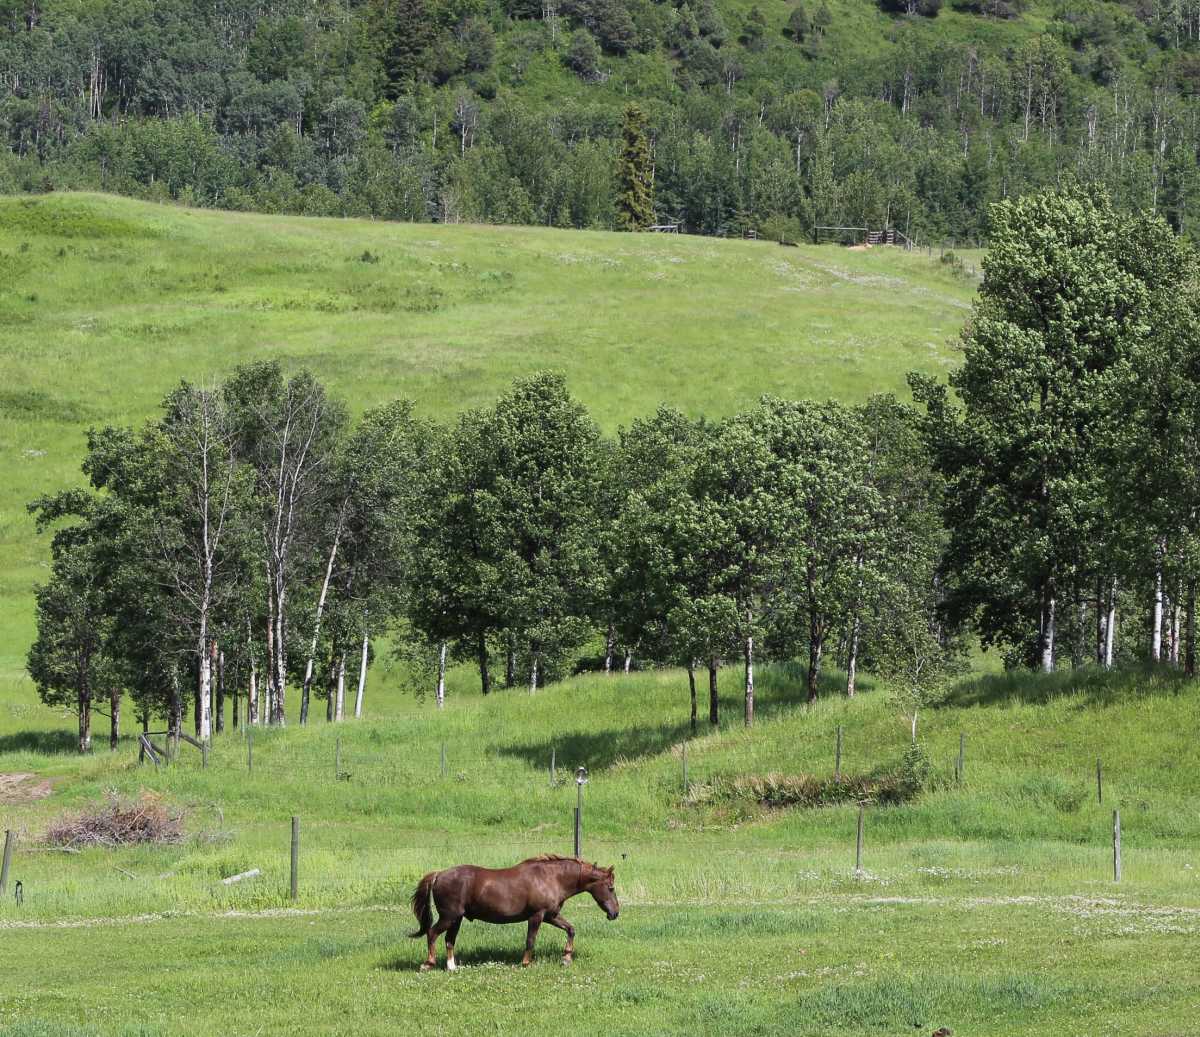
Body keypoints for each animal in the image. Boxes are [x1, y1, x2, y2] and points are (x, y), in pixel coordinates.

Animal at [408, 854, 620, 970]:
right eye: (610, 888)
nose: (615, 913)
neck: (551, 878)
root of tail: (438, 875)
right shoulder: (537, 916)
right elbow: (530, 940)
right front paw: (526, 963)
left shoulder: (550, 916)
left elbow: (571, 929)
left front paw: (566, 958)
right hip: (449, 917)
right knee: (432, 933)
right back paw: (428, 963)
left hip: (456, 919)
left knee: (449, 940)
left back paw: (452, 967)